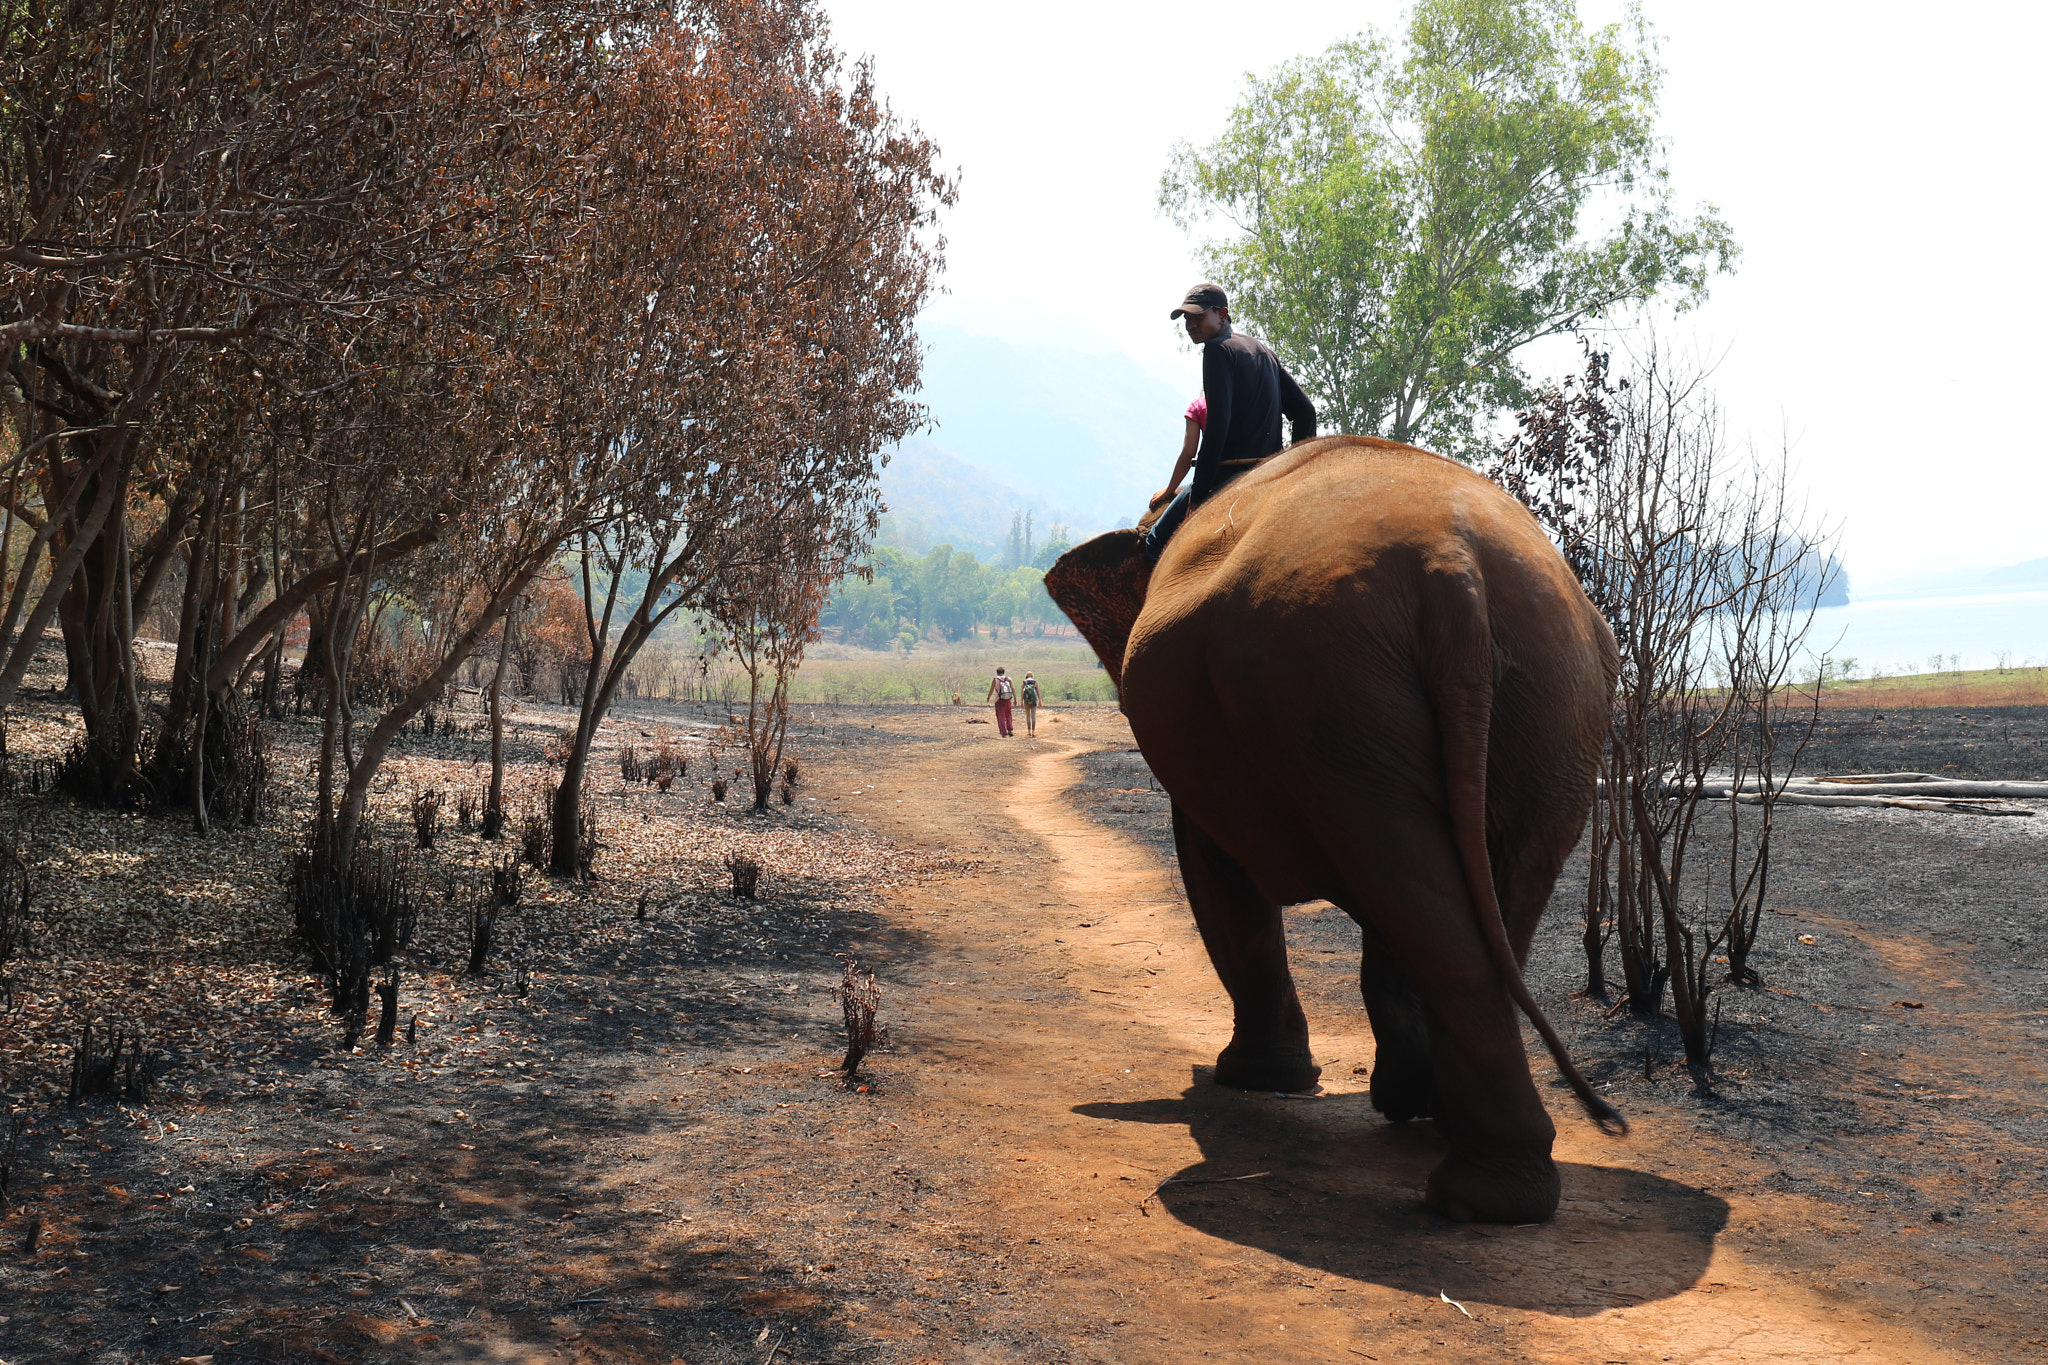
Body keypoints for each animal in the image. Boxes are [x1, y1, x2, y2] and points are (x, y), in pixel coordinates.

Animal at [1044, 433, 1622, 1224]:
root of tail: (1454, 569)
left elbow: (1215, 871)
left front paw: (1255, 1079)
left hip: (1329, 692)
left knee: (1409, 882)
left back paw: (1468, 1187)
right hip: (1541, 709)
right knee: (1463, 894)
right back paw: (1479, 1167)